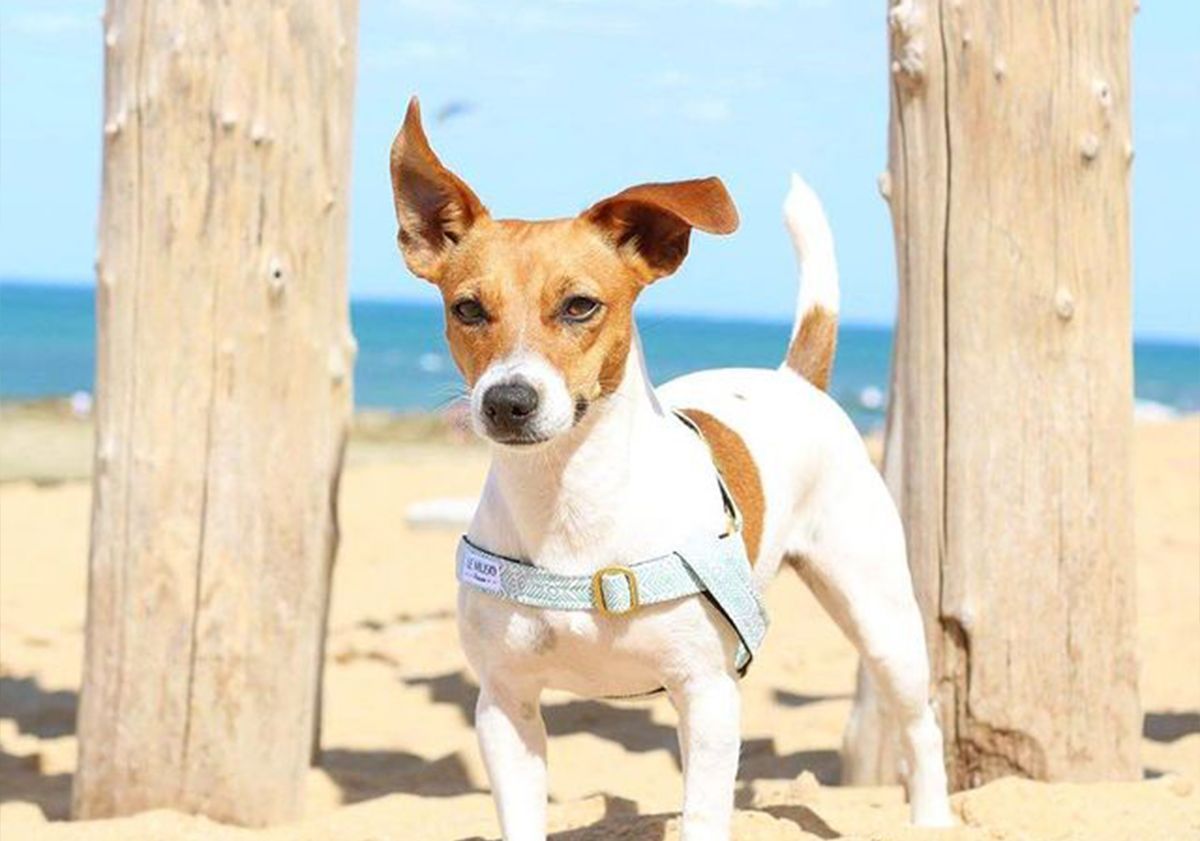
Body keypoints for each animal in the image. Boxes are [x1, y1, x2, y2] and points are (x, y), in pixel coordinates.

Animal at [388, 100, 950, 839]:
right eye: (468, 309)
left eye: (580, 305)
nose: (507, 400)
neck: (571, 509)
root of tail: (793, 379)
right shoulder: (505, 707)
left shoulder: (708, 695)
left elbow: (704, 817)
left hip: (882, 618)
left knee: (921, 723)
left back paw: (934, 817)